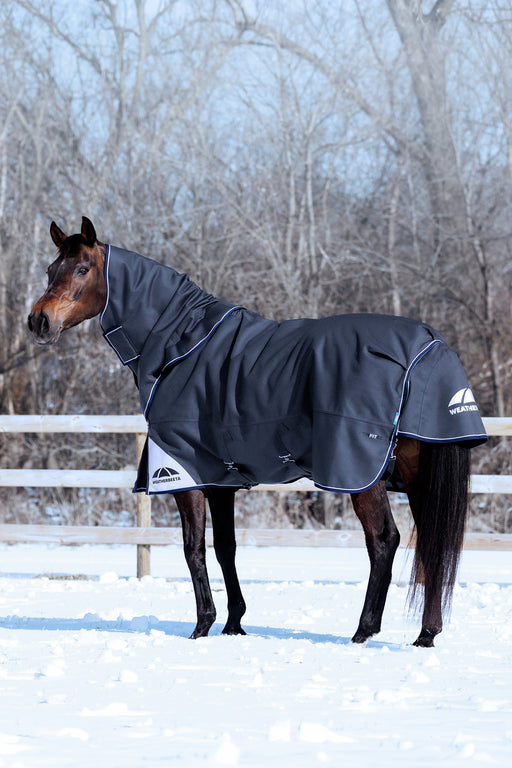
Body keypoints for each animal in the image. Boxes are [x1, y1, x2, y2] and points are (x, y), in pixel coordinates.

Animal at [28, 216, 483, 647]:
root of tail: (430, 345)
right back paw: (426, 634)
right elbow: (225, 549)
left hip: (361, 475)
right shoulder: (221, 479)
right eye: (51, 268)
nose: (38, 321)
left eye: (82, 268)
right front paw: (234, 624)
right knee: (433, 543)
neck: (182, 346)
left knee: (385, 540)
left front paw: (202, 626)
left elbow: (194, 548)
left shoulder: (184, 473)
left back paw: (364, 631)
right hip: (417, 474)